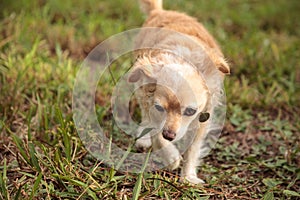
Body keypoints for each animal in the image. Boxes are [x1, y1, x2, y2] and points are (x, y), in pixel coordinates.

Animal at [127, 0, 230, 184]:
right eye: (159, 108)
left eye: (190, 111)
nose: (169, 135)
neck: (184, 60)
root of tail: (160, 12)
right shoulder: (151, 105)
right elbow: (157, 135)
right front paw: (171, 158)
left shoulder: (202, 120)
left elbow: (193, 149)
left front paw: (188, 177)